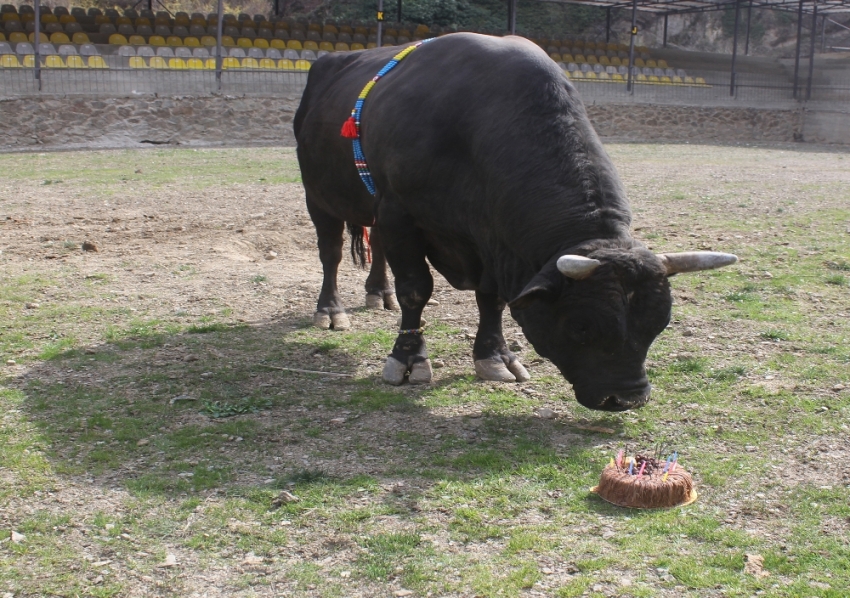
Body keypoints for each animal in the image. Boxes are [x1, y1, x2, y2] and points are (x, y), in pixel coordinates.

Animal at [294, 32, 736, 412]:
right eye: (581, 327)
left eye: (660, 325)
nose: (626, 399)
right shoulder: (399, 214)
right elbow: (416, 290)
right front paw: (407, 359)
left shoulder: (491, 242)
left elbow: (492, 298)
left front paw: (494, 356)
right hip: (319, 196)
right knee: (331, 254)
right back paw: (330, 310)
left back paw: (378, 292)